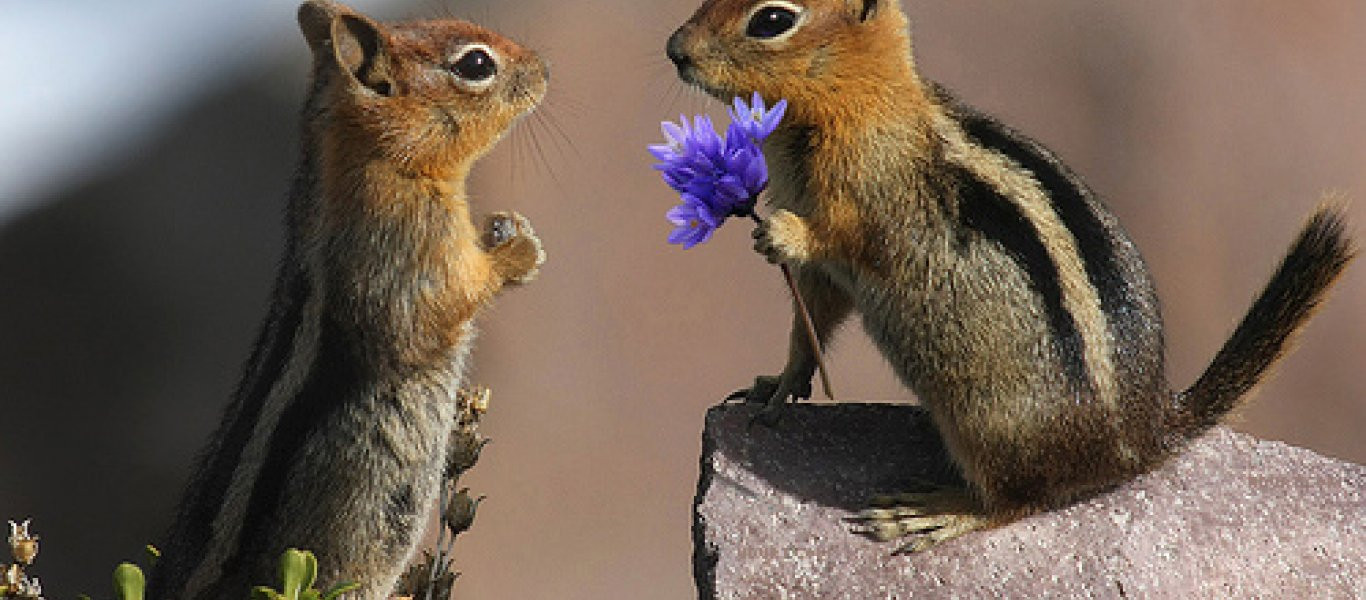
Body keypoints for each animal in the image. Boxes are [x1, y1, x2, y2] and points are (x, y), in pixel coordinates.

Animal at [150, 2, 549, 598]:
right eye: (476, 64)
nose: (544, 70)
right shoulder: (407, 247)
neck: (377, 159)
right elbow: (451, 298)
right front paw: (519, 251)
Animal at [666, 0, 1349, 552]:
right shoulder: (826, 279)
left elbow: (844, 239)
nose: (675, 48)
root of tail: (1144, 435)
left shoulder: (868, 203)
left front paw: (779, 234)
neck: (864, 102)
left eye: (772, 20)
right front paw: (776, 386)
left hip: (986, 424)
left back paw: (938, 513)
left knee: (1021, 502)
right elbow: (809, 327)